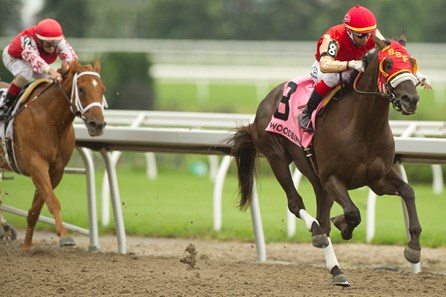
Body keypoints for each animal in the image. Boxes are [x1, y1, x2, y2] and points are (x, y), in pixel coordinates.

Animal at [0, 60, 106, 250]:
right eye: (81, 89)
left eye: (103, 89)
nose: (98, 124)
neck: (49, 119)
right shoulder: (36, 164)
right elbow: (53, 201)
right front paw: (64, 236)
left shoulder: (56, 169)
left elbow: (35, 209)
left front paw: (26, 247)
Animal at [232, 35, 424, 286]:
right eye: (388, 64)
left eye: (411, 62)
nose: (411, 99)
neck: (363, 126)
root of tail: (267, 99)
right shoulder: (333, 178)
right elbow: (353, 213)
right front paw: (343, 224)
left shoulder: (378, 179)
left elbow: (408, 191)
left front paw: (414, 248)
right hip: (277, 156)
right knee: (297, 205)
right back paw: (318, 235)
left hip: (316, 178)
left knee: (322, 218)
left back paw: (336, 270)